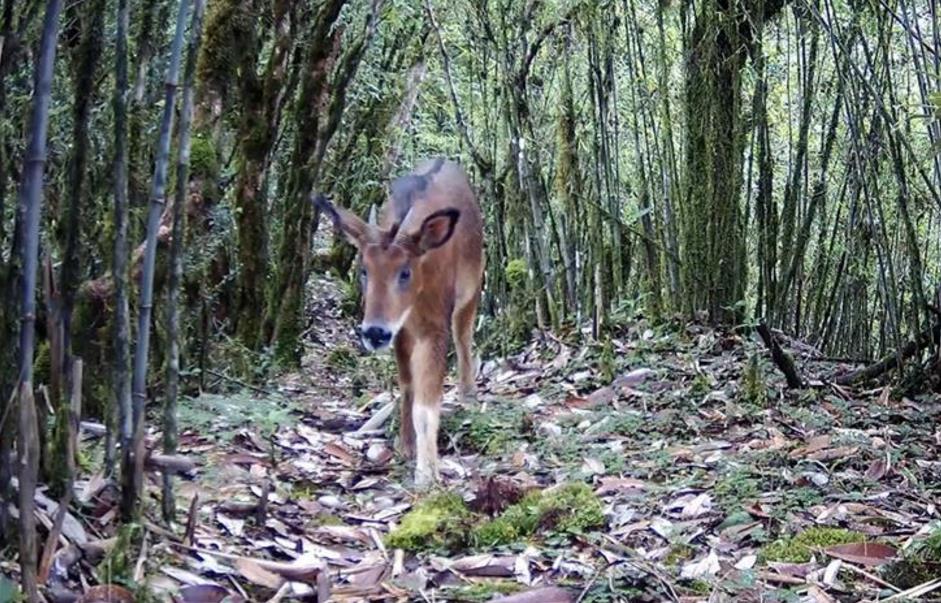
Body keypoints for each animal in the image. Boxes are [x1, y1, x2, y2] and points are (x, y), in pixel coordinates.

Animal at [320, 158, 484, 488]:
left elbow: (427, 405)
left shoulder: (435, 327)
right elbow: (408, 386)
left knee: (464, 337)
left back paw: (468, 394)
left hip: (472, 289)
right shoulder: (401, 332)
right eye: (364, 271)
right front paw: (406, 447)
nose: (374, 332)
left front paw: (427, 474)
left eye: (405, 272)